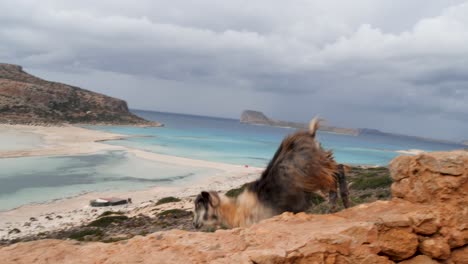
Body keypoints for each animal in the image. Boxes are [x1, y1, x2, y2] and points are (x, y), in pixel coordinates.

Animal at [192, 117, 350, 229]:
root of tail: (310, 134)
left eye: (201, 206)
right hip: (320, 163)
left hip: (314, 170)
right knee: (339, 168)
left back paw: (337, 202)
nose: (194, 224)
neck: (235, 210)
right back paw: (343, 203)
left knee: (336, 172)